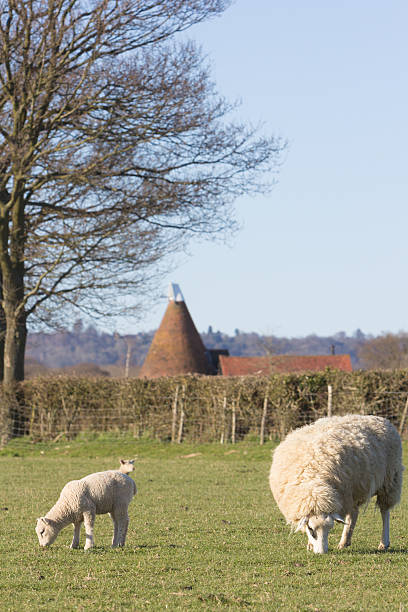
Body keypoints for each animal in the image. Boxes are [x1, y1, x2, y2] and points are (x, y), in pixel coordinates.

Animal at [270, 416, 404, 556]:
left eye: (330, 528)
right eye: (311, 529)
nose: (322, 553)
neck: (314, 484)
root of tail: (381, 419)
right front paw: (310, 544)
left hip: (390, 480)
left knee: (384, 512)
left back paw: (384, 543)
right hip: (353, 491)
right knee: (353, 514)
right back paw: (345, 542)